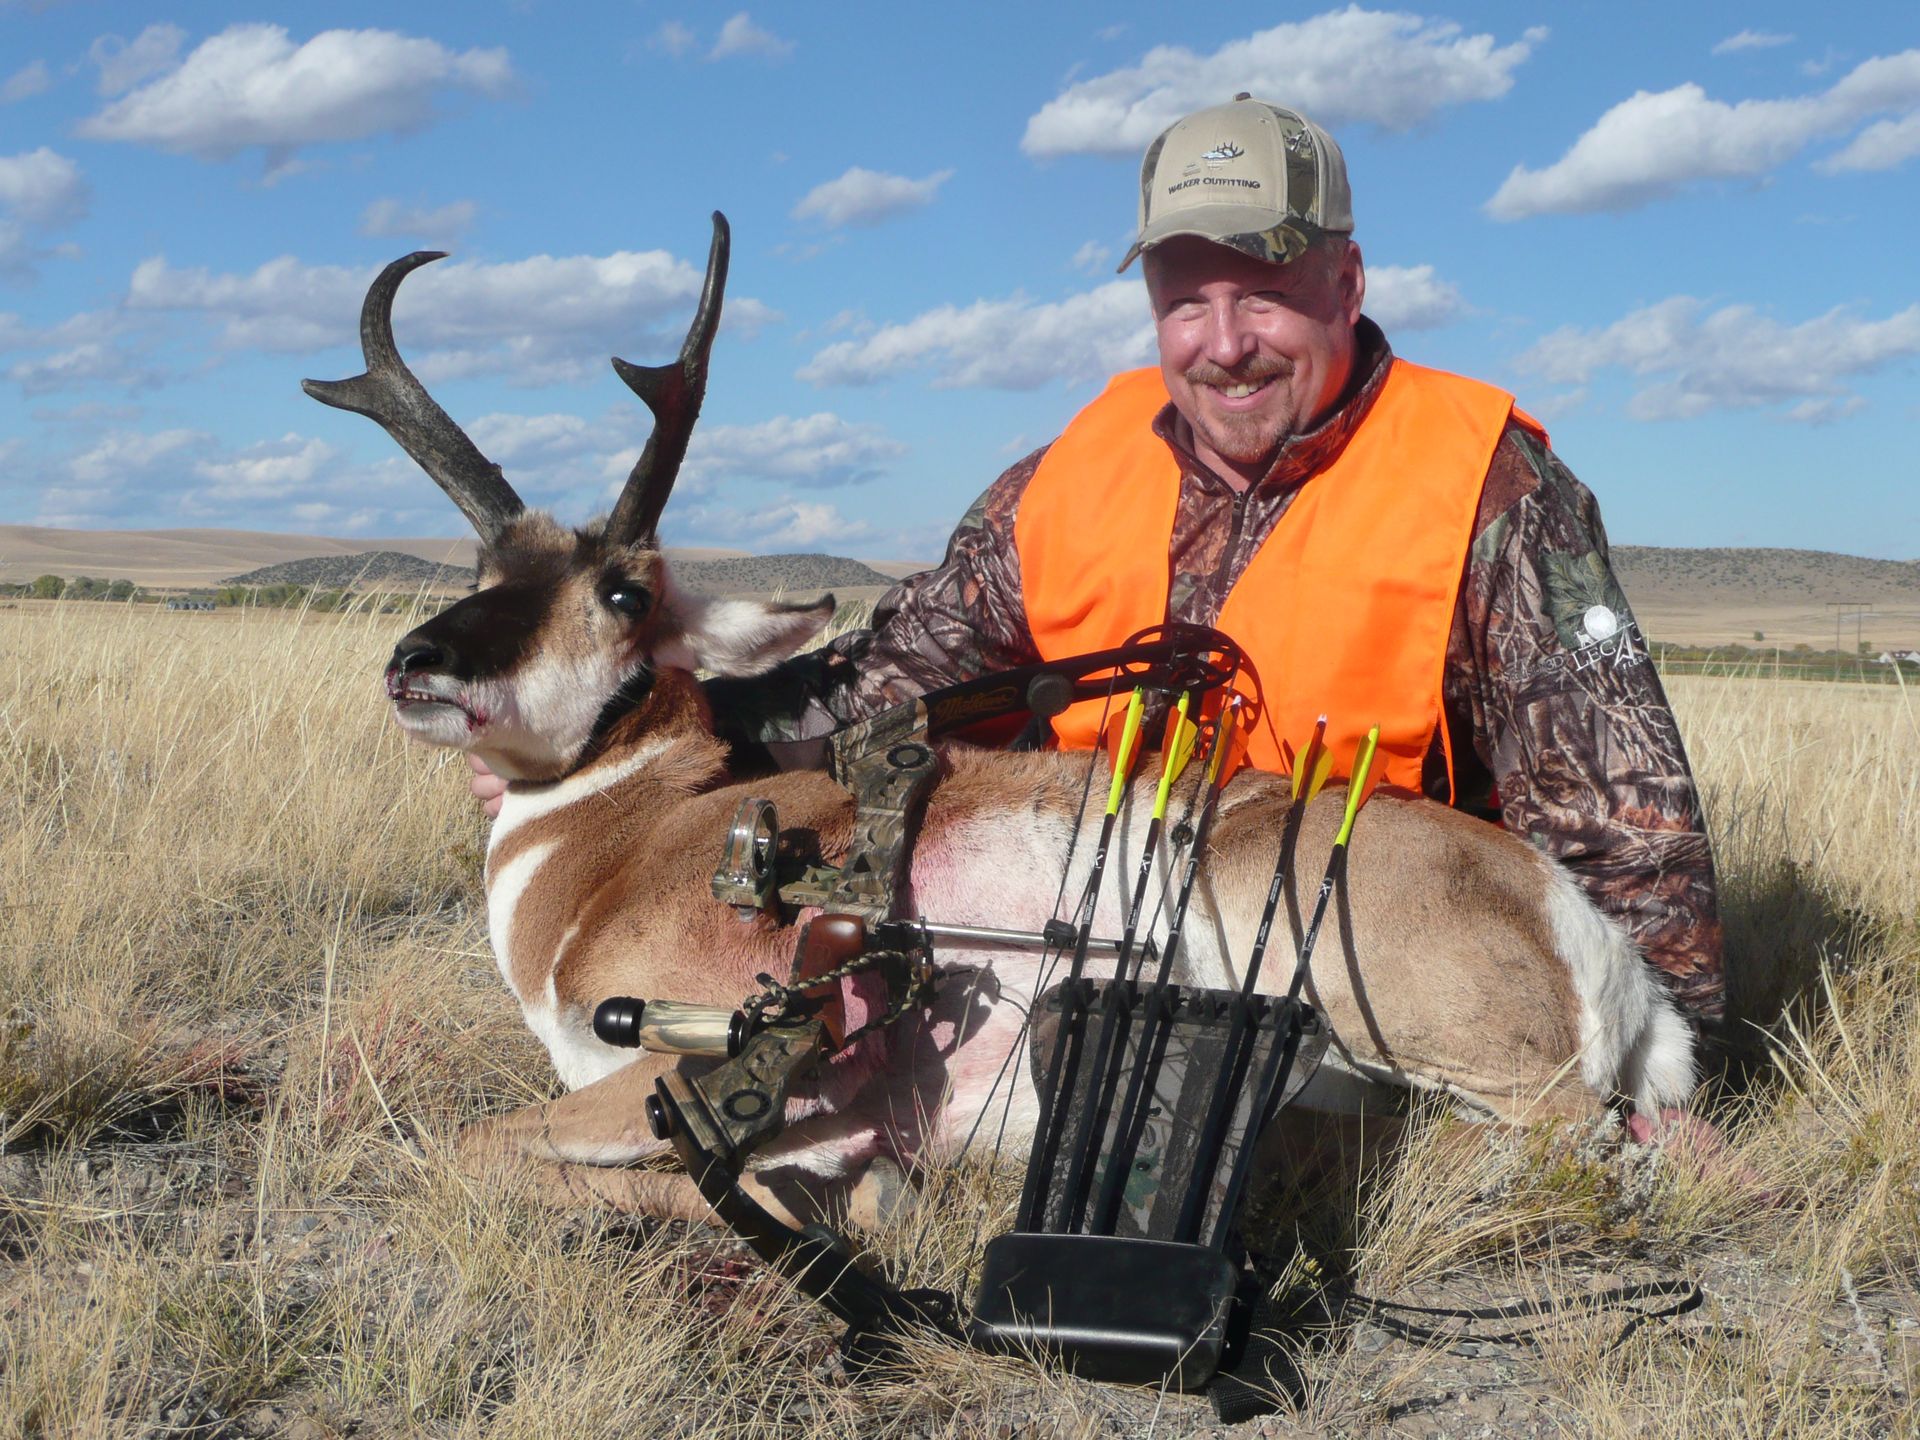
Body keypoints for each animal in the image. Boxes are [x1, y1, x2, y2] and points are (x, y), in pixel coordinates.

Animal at [305, 216, 1695, 1230]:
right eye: (486, 564)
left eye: (623, 592)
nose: (416, 661)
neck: (630, 841)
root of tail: (1591, 934)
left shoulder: (672, 1065)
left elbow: (470, 1149)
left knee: (1579, 1157)